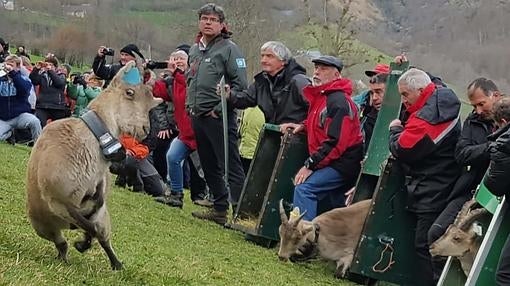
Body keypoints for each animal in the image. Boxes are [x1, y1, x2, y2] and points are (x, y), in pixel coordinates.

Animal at [25, 61, 161, 270]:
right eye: (130, 92)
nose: (145, 129)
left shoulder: (98, 205)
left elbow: (95, 225)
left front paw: (84, 243)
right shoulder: (59, 201)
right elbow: (89, 226)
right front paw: (81, 244)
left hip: (101, 219)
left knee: (103, 239)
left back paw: (117, 264)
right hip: (43, 225)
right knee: (62, 242)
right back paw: (65, 256)